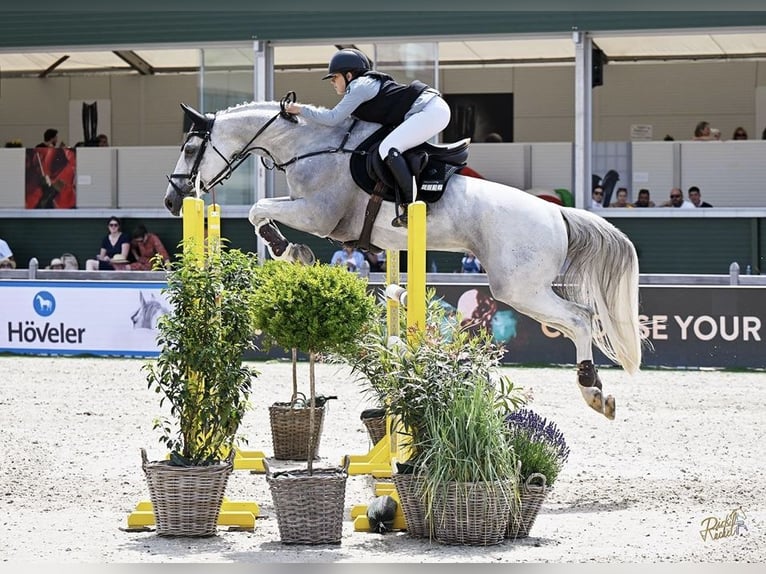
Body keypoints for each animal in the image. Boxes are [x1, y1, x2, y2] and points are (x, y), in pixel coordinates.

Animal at [164, 96, 642, 420]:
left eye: (189, 149)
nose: (172, 200)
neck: (311, 146)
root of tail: (556, 213)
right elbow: (260, 209)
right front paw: (291, 251)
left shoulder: (317, 214)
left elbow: (258, 209)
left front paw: (289, 250)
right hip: (525, 288)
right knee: (581, 318)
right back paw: (598, 390)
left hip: (518, 287)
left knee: (581, 318)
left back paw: (593, 391)